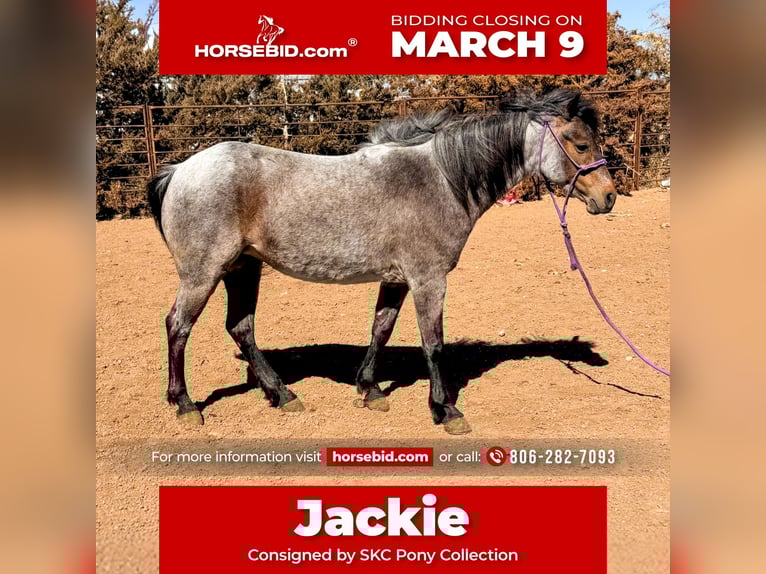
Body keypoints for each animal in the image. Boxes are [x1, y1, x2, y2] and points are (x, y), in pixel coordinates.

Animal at [147, 88, 616, 435]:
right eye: (580, 144)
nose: (608, 196)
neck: (442, 179)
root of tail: (179, 170)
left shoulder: (397, 279)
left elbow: (381, 330)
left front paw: (370, 390)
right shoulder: (429, 280)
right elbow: (433, 343)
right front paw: (446, 411)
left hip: (244, 268)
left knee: (241, 328)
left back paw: (283, 395)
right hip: (203, 273)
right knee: (178, 326)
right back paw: (185, 405)